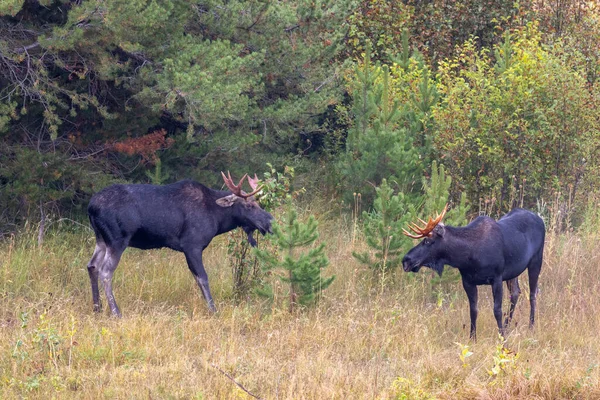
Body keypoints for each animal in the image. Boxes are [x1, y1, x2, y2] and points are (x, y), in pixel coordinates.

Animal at [85, 173, 274, 318]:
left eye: (258, 203)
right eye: (249, 205)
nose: (270, 222)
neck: (218, 218)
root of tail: (90, 207)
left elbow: (198, 278)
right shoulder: (192, 244)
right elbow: (203, 277)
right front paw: (213, 309)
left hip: (101, 240)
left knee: (92, 266)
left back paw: (97, 309)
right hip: (117, 240)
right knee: (105, 271)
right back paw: (116, 312)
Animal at [400, 206, 548, 340]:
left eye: (428, 240)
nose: (406, 260)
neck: (467, 255)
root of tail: (540, 219)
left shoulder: (497, 278)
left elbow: (497, 310)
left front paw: (502, 338)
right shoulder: (468, 281)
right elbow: (473, 310)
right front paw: (472, 338)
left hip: (536, 260)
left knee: (532, 293)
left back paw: (531, 326)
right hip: (513, 272)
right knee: (516, 293)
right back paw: (507, 326)